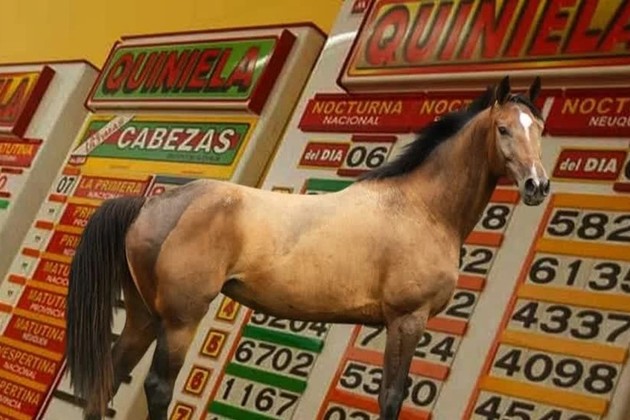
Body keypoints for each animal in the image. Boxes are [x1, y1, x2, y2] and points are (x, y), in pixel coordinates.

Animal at [65, 75, 550, 420]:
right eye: (503, 129)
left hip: (144, 315)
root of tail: (152, 204)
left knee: (107, 380)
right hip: (180, 320)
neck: (419, 206)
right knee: (157, 388)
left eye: (540, 129)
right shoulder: (407, 320)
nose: (538, 185)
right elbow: (392, 397)